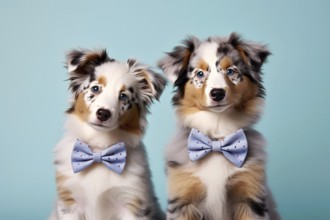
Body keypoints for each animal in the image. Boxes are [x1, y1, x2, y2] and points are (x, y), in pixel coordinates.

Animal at [49, 49, 166, 219]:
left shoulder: (132, 202)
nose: (103, 113)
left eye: (123, 96)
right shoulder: (70, 202)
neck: (99, 149)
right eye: (95, 89)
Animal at [159, 32, 280, 220]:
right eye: (200, 73)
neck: (217, 137)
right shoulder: (182, 199)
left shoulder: (250, 196)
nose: (217, 93)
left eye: (230, 71)